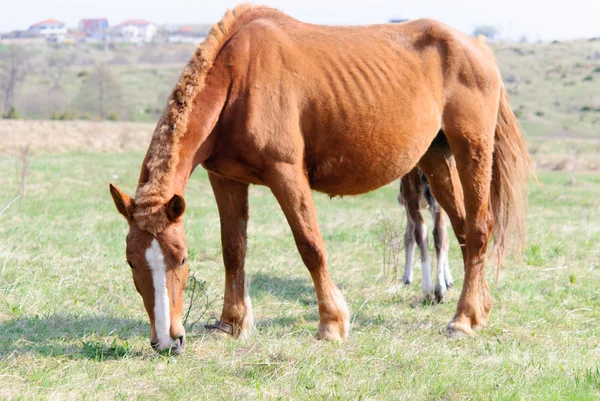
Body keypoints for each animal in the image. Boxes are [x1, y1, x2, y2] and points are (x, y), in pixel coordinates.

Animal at [400, 164, 452, 302]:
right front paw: (448, 280)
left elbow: (408, 236)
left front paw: (407, 278)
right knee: (438, 232)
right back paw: (439, 290)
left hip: (410, 192)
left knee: (420, 230)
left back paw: (428, 290)